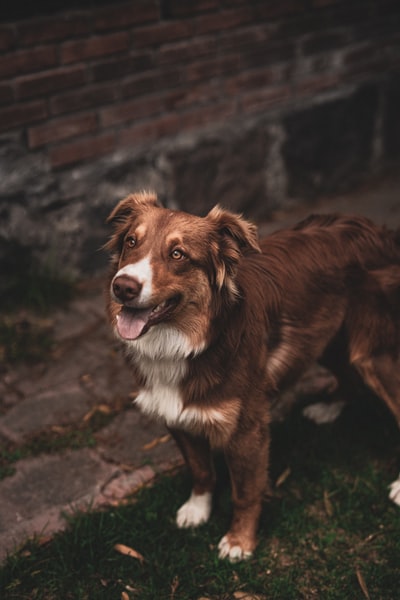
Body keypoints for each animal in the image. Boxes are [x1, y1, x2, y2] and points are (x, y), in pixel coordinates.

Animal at [105, 192, 400, 564]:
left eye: (178, 254)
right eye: (131, 241)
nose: (122, 287)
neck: (190, 343)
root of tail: (380, 230)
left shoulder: (247, 431)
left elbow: (244, 492)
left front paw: (239, 541)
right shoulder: (174, 415)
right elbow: (201, 470)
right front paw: (197, 509)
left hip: (374, 354)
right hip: (326, 338)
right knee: (348, 374)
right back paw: (328, 408)